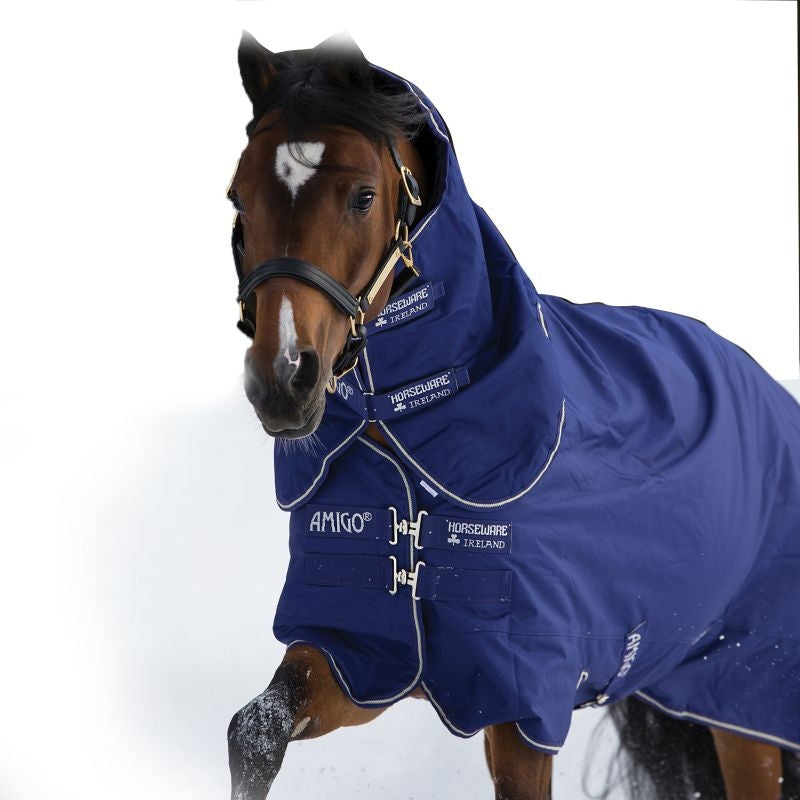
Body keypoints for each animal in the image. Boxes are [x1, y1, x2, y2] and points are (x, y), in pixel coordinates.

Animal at [224, 31, 800, 800]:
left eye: (363, 196)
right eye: (239, 197)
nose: (284, 380)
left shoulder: (523, 704)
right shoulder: (372, 653)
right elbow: (255, 730)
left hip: (742, 697)